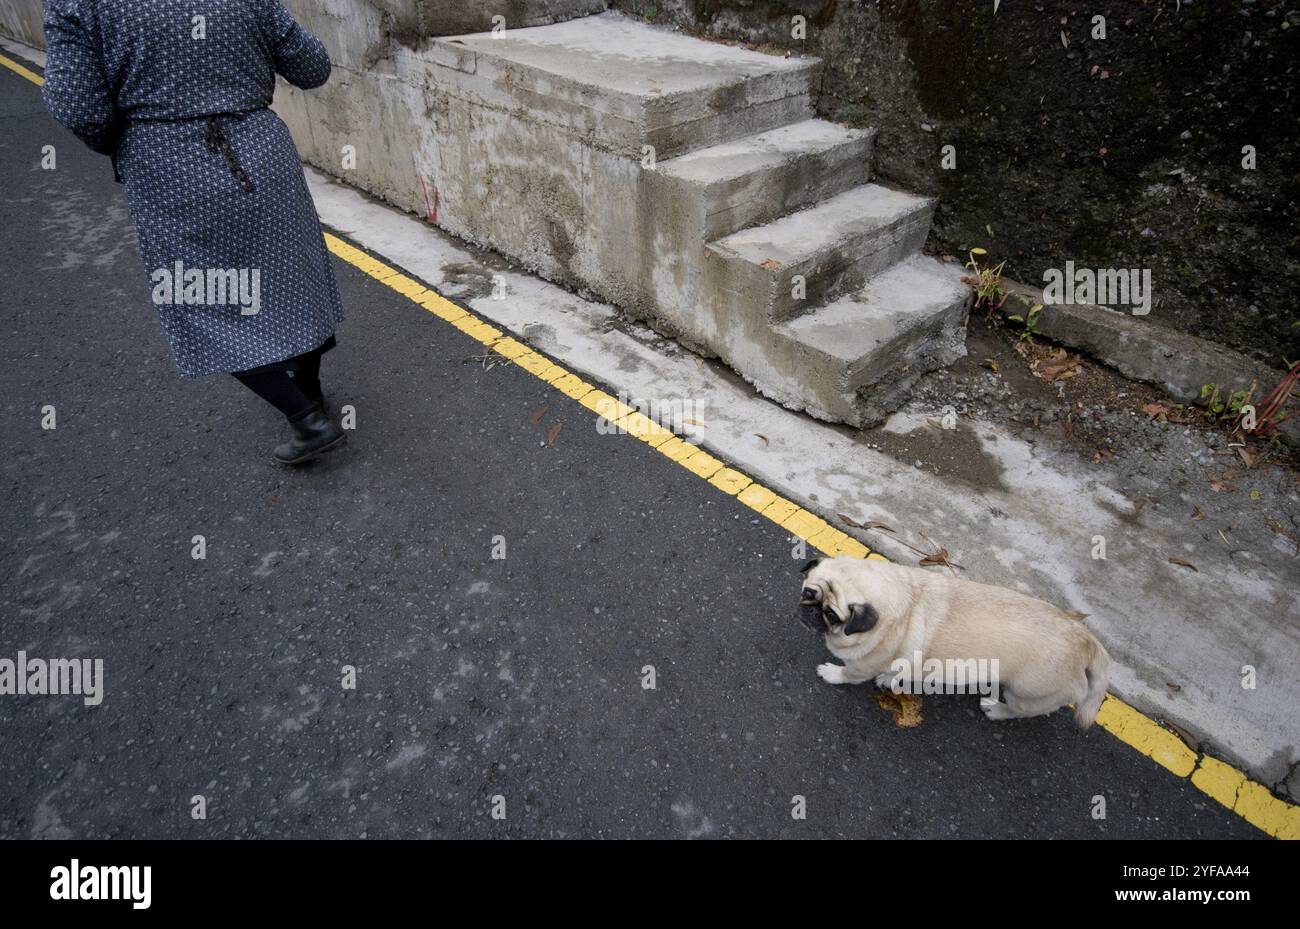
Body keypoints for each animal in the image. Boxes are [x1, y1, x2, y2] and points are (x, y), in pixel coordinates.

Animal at [795, 556, 1112, 732]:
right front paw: (888, 678)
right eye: (808, 593)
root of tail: (1084, 641)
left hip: (1025, 694)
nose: (811, 610)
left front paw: (833, 673)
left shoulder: (864, 663)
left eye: (832, 615)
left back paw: (996, 709)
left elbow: (849, 673)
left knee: (1021, 710)